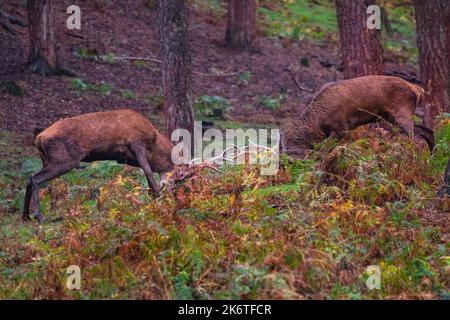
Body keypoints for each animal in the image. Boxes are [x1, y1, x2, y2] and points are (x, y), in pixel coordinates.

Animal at [22, 109, 194, 222]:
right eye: (181, 175)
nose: (172, 192)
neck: (154, 144)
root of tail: (39, 138)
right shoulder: (136, 142)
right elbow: (148, 171)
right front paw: (158, 195)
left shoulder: (127, 157)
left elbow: (146, 172)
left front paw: (153, 195)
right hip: (64, 161)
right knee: (35, 179)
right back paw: (39, 216)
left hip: (47, 160)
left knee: (30, 179)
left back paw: (25, 215)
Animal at [282, 75, 436, 158]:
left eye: (294, 151)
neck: (319, 123)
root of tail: (417, 90)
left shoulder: (342, 128)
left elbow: (326, 152)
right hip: (391, 117)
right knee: (427, 131)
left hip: (401, 113)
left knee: (417, 139)